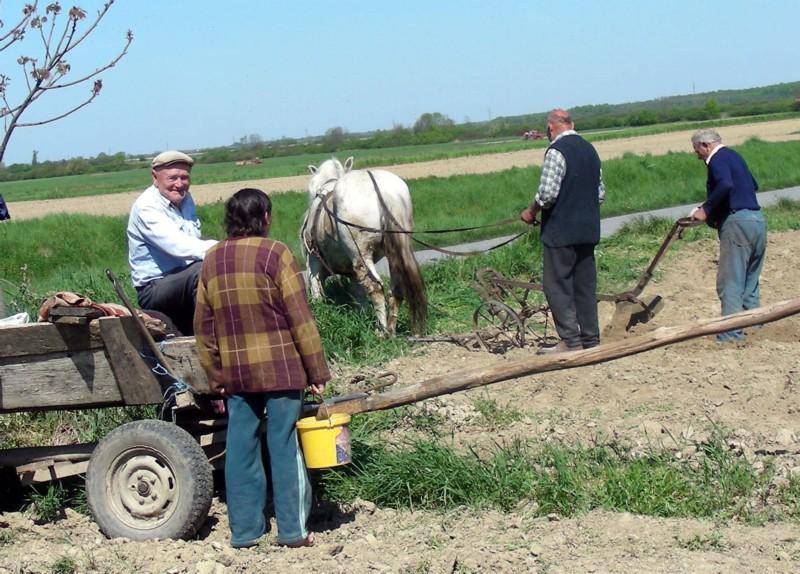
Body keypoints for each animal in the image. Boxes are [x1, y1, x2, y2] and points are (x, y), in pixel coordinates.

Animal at [300, 158, 428, 338]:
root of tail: (383, 191)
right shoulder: (353, 272)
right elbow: (359, 293)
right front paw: (363, 315)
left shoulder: (313, 262)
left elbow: (316, 287)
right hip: (394, 251)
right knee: (395, 287)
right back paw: (391, 330)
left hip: (360, 253)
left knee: (375, 288)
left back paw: (381, 331)